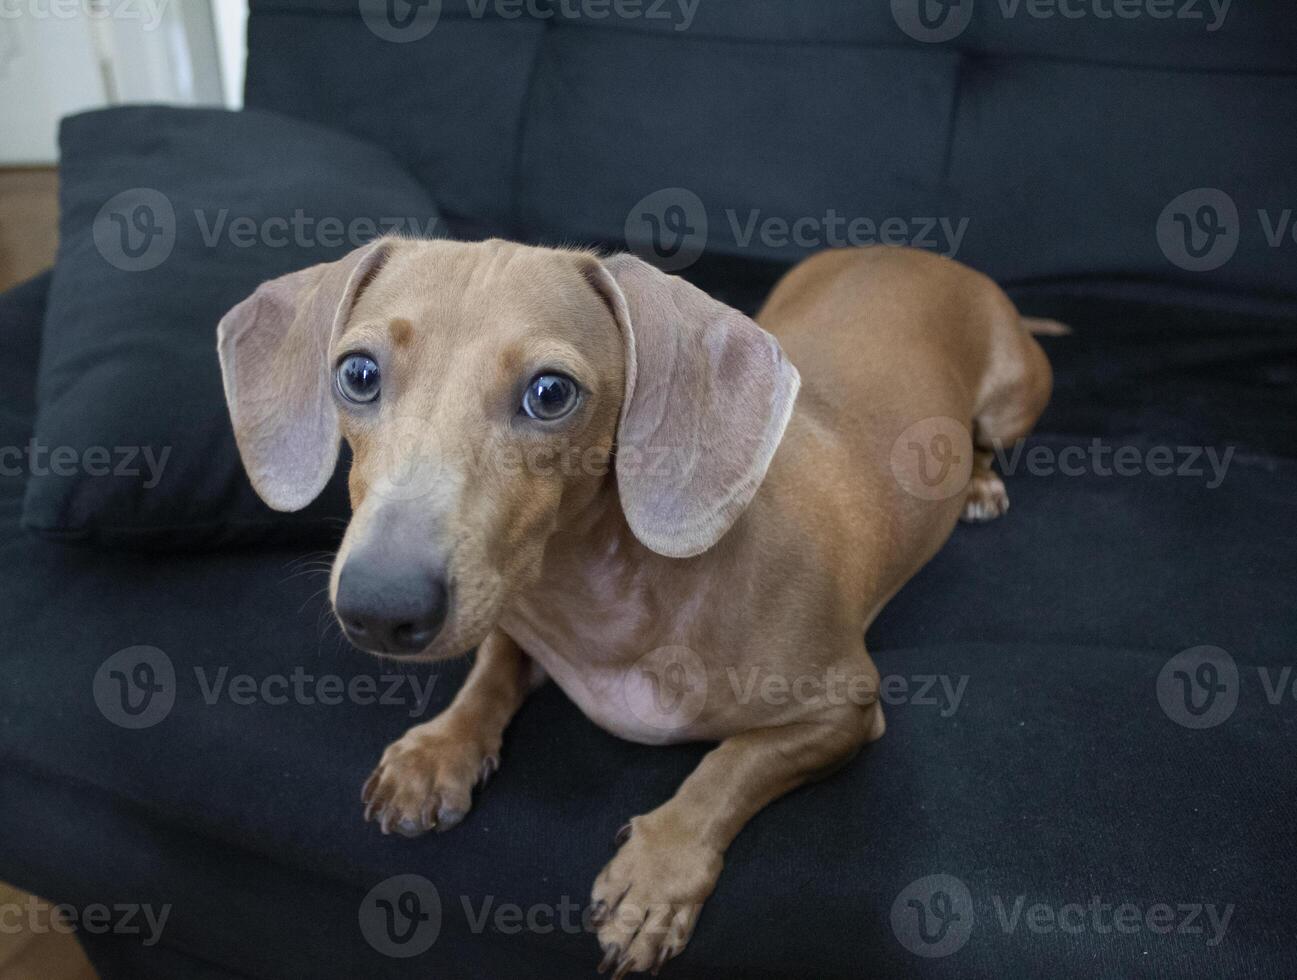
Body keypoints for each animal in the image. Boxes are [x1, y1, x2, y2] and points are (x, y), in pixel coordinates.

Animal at [217, 235, 1058, 974]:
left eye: (551, 392)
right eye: (357, 373)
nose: (380, 607)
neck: (600, 598)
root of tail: (923, 255)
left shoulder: (844, 708)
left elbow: (729, 766)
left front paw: (656, 875)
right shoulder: (514, 618)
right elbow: (491, 671)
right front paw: (437, 751)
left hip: (1010, 397)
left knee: (988, 438)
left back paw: (981, 484)